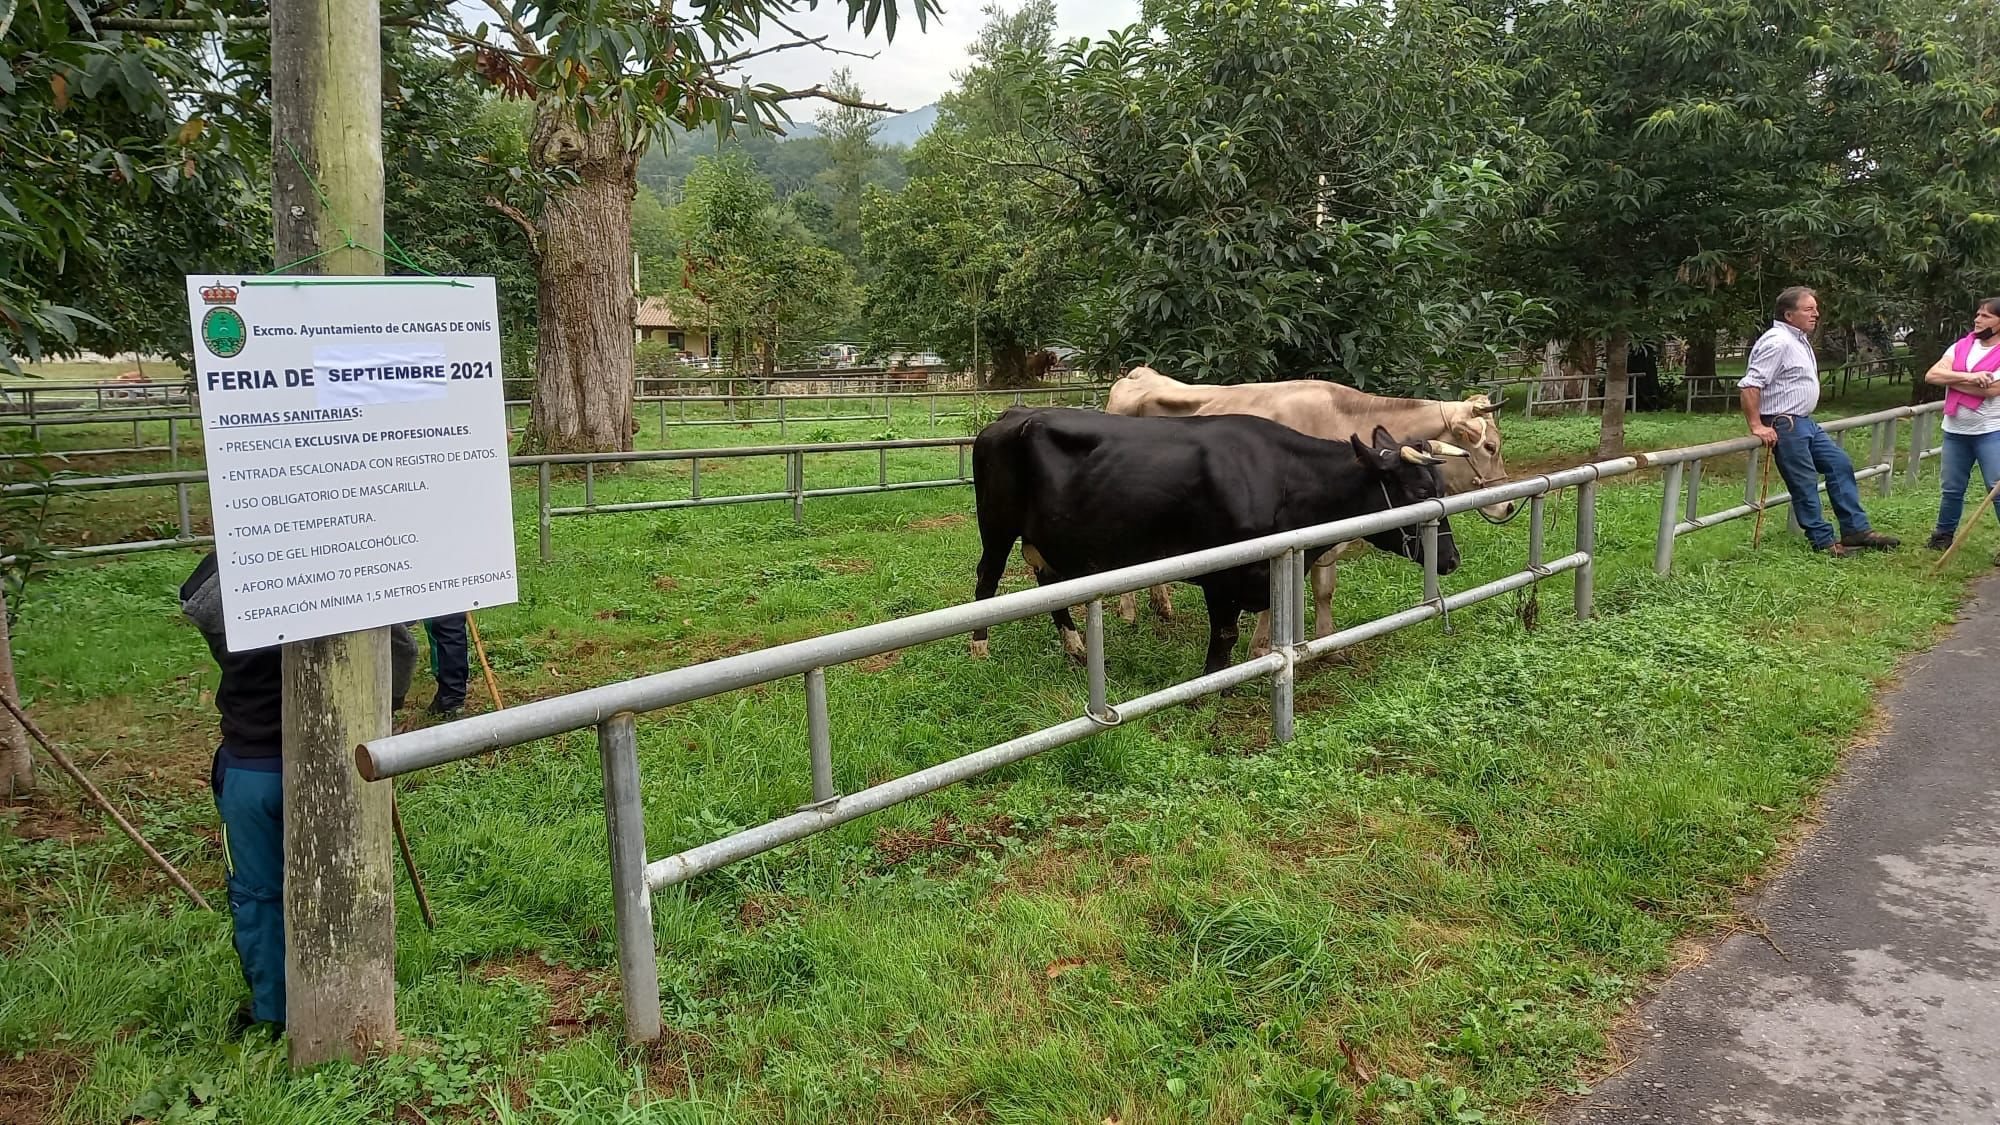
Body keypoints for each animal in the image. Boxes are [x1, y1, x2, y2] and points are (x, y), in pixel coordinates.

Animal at [972, 406, 1472, 668]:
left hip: (1052, 538)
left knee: (1049, 583)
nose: (1450, 560)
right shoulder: (1219, 574)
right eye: (1419, 492)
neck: (1284, 481)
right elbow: (1226, 635)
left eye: (1442, 489)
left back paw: (1076, 647)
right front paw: (1210, 687)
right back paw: (979, 648)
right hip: (996, 527)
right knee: (988, 577)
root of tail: (1014, 414)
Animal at [1104, 364, 1504, 652]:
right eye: (1490, 447)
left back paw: (1162, 606)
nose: (1507, 506)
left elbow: (1325, 587)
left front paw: (1328, 642)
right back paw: (1129, 613)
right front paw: (1261, 648)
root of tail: (1139, 373)